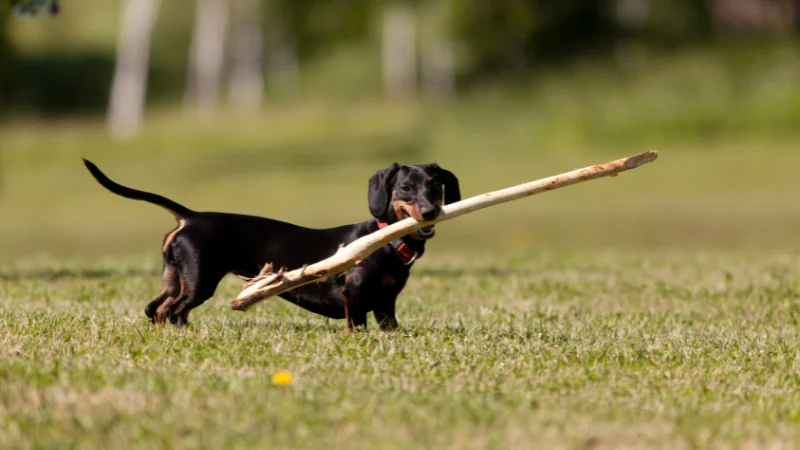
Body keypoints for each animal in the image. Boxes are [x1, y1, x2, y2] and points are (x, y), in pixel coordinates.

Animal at [83, 159, 460, 330]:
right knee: (173, 310)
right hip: (199, 280)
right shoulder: (355, 296)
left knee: (155, 308)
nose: (430, 212)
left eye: (436, 185)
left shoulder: (386, 305)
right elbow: (356, 326)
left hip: (174, 276)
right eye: (406, 187)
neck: (387, 243)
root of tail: (191, 217)